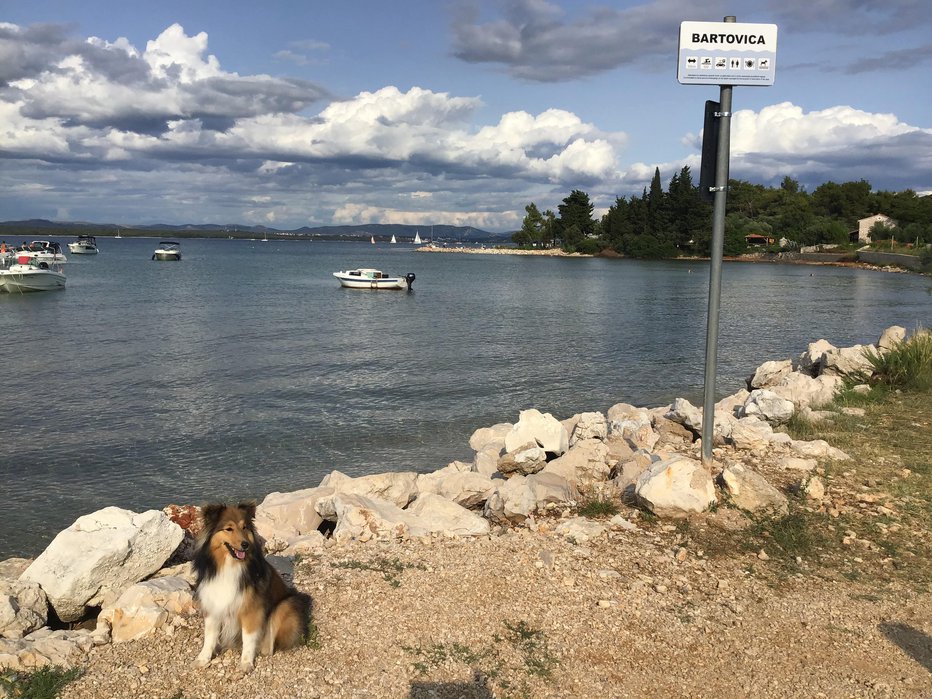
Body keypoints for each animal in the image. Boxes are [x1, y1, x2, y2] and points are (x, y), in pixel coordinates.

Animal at [192, 504, 310, 672]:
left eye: (244, 527)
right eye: (229, 529)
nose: (245, 544)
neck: (230, 566)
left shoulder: (251, 610)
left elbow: (248, 638)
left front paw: (246, 663)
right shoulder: (213, 604)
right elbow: (209, 636)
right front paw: (203, 659)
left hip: (285, 605)